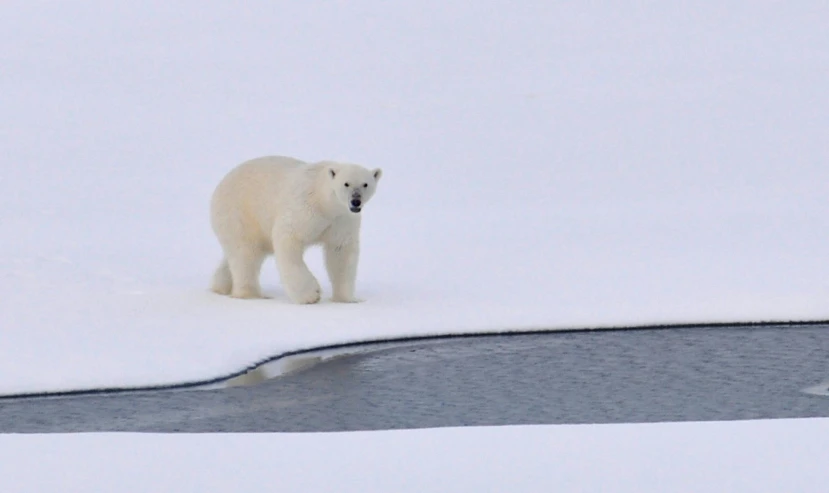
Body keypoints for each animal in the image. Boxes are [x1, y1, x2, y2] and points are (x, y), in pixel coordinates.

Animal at [212, 157, 384, 304]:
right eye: (346, 184)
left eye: (365, 184)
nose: (356, 201)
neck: (324, 202)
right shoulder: (304, 207)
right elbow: (288, 238)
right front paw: (310, 295)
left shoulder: (342, 220)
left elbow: (340, 251)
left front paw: (347, 299)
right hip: (240, 213)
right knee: (245, 253)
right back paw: (252, 295)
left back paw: (221, 286)